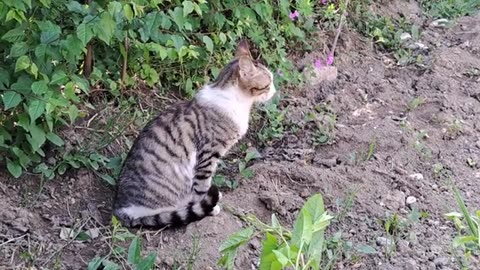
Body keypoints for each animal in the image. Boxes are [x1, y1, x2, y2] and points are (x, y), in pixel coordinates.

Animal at [112, 39, 276, 230]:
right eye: (268, 84)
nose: (275, 91)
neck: (239, 103)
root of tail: (120, 211)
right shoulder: (208, 155)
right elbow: (203, 187)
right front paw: (209, 208)